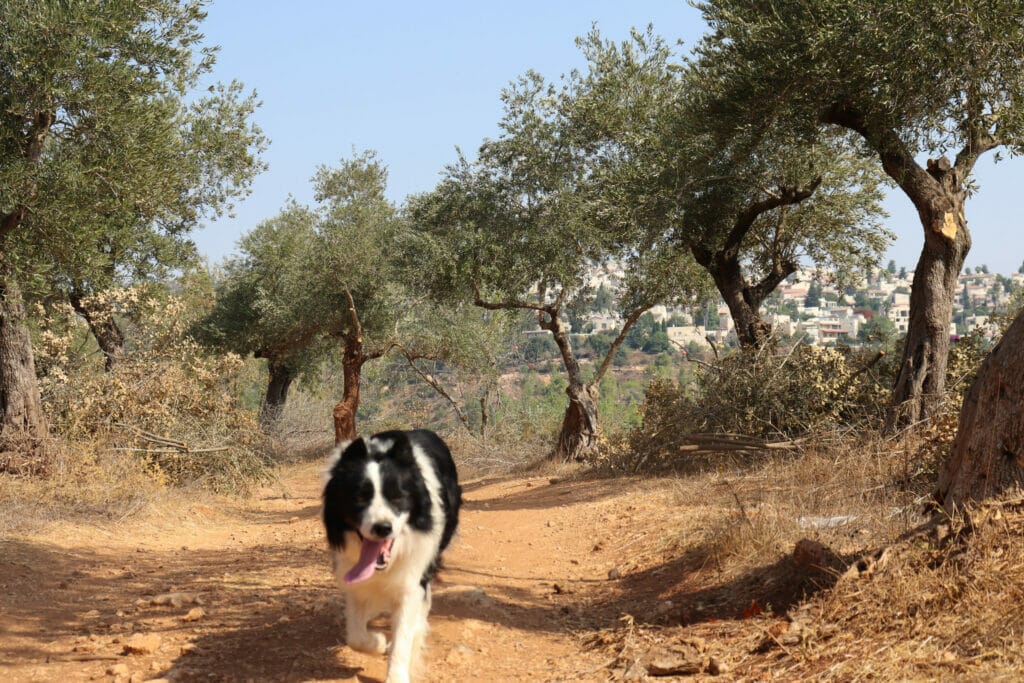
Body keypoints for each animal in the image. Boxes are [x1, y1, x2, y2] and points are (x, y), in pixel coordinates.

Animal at [323, 430, 460, 679]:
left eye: (397, 497)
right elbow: (355, 636)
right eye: (359, 497)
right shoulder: (355, 581)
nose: (383, 528)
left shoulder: (412, 580)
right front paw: (377, 642)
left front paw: (396, 673)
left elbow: (403, 636)